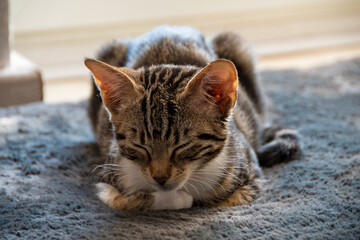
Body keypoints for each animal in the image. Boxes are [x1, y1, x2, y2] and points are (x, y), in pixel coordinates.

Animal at [85, 25, 300, 211]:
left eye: (183, 146)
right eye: (139, 146)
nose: (160, 178)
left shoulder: (251, 174)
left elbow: (222, 201)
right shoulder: (108, 176)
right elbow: (128, 201)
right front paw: (176, 199)